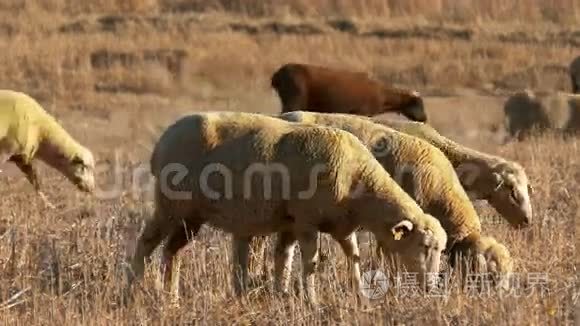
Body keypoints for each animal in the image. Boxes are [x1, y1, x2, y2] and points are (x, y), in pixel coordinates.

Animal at [124, 111, 446, 304]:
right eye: (424, 246)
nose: (431, 287)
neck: (360, 183)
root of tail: (163, 141)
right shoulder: (305, 221)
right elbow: (309, 262)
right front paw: (311, 300)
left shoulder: (330, 226)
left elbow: (336, 257)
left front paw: (357, 294)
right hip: (171, 204)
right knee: (146, 242)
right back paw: (132, 290)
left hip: (191, 216)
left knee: (172, 251)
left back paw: (171, 297)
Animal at [270, 62, 426, 121]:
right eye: (418, 103)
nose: (425, 119)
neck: (384, 96)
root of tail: (278, 74)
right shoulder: (362, 112)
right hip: (293, 100)